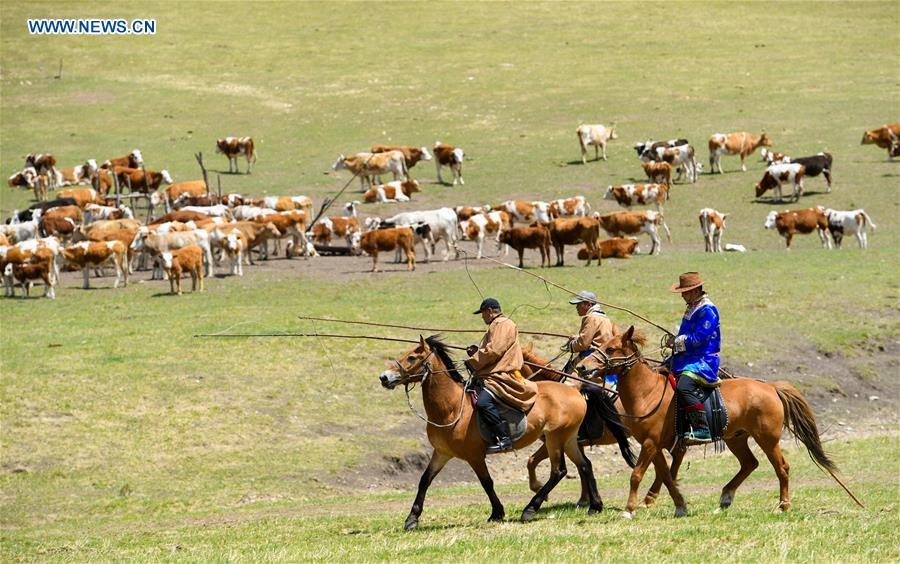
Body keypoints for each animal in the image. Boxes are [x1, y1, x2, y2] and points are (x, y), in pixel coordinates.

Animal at [376, 334, 600, 528]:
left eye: (411, 357)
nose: (384, 377)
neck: (452, 408)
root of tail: (574, 389)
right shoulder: (442, 453)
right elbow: (424, 480)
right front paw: (412, 518)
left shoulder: (474, 456)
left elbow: (487, 482)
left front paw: (497, 513)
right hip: (568, 439)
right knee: (585, 465)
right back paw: (595, 506)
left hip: (555, 438)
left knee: (558, 471)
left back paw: (530, 509)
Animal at [576, 326, 856, 516]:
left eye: (610, 349)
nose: (582, 367)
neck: (648, 392)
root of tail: (771, 387)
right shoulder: (653, 444)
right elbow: (666, 476)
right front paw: (679, 506)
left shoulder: (650, 443)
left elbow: (637, 475)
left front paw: (629, 509)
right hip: (736, 438)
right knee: (750, 464)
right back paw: (725, 498)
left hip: (767, 438)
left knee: (782, 468)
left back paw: (783, 505)